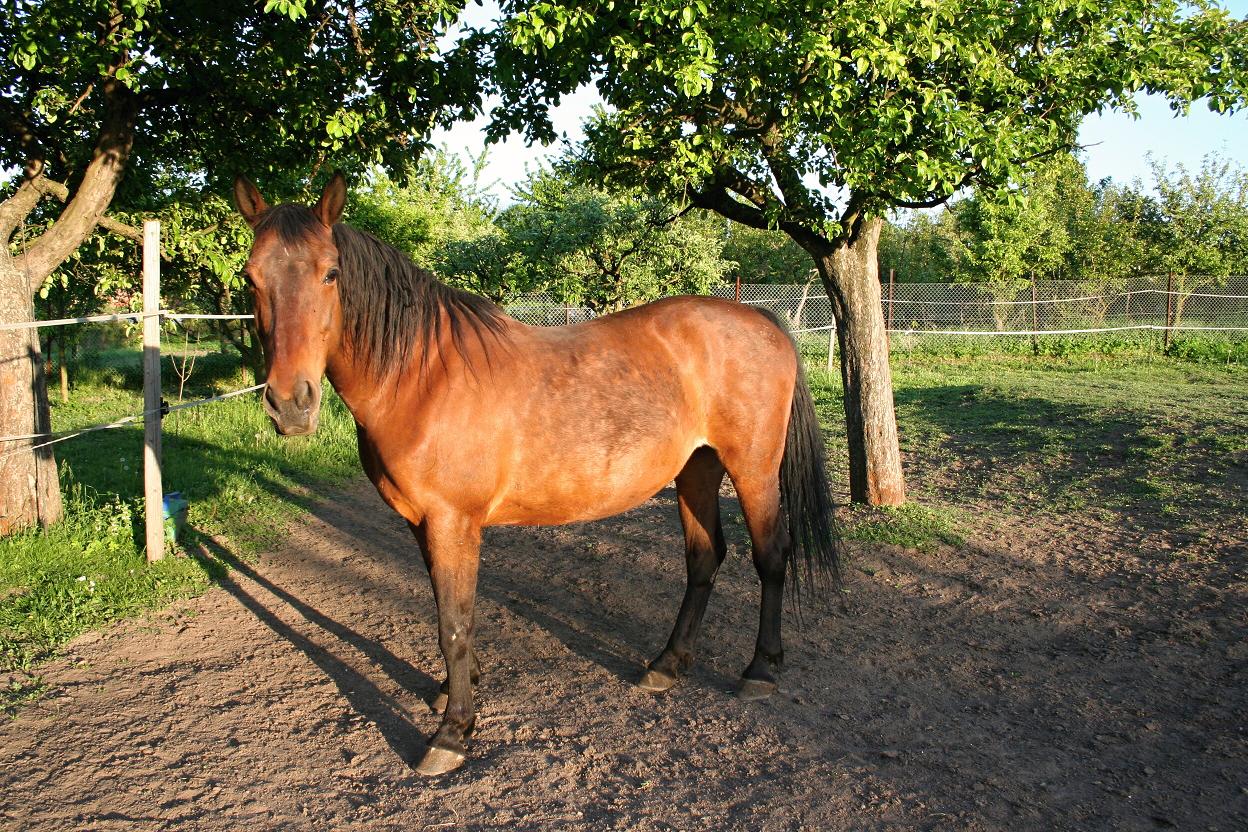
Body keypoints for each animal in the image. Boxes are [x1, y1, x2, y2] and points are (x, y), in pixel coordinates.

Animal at [234, 172, 838, 778]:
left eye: (329, 273)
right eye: (250, 276)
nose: (290, 405)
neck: (422, 376)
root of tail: (760, 319)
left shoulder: (452, 521)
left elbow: (454, 621)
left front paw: (453, 733)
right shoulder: (422, 522)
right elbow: (446, 610)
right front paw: (455, 691)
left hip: (753, 470)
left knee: (771, 556)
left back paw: (760, 670)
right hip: (696, 470)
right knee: (705, 558)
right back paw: (666, 666)